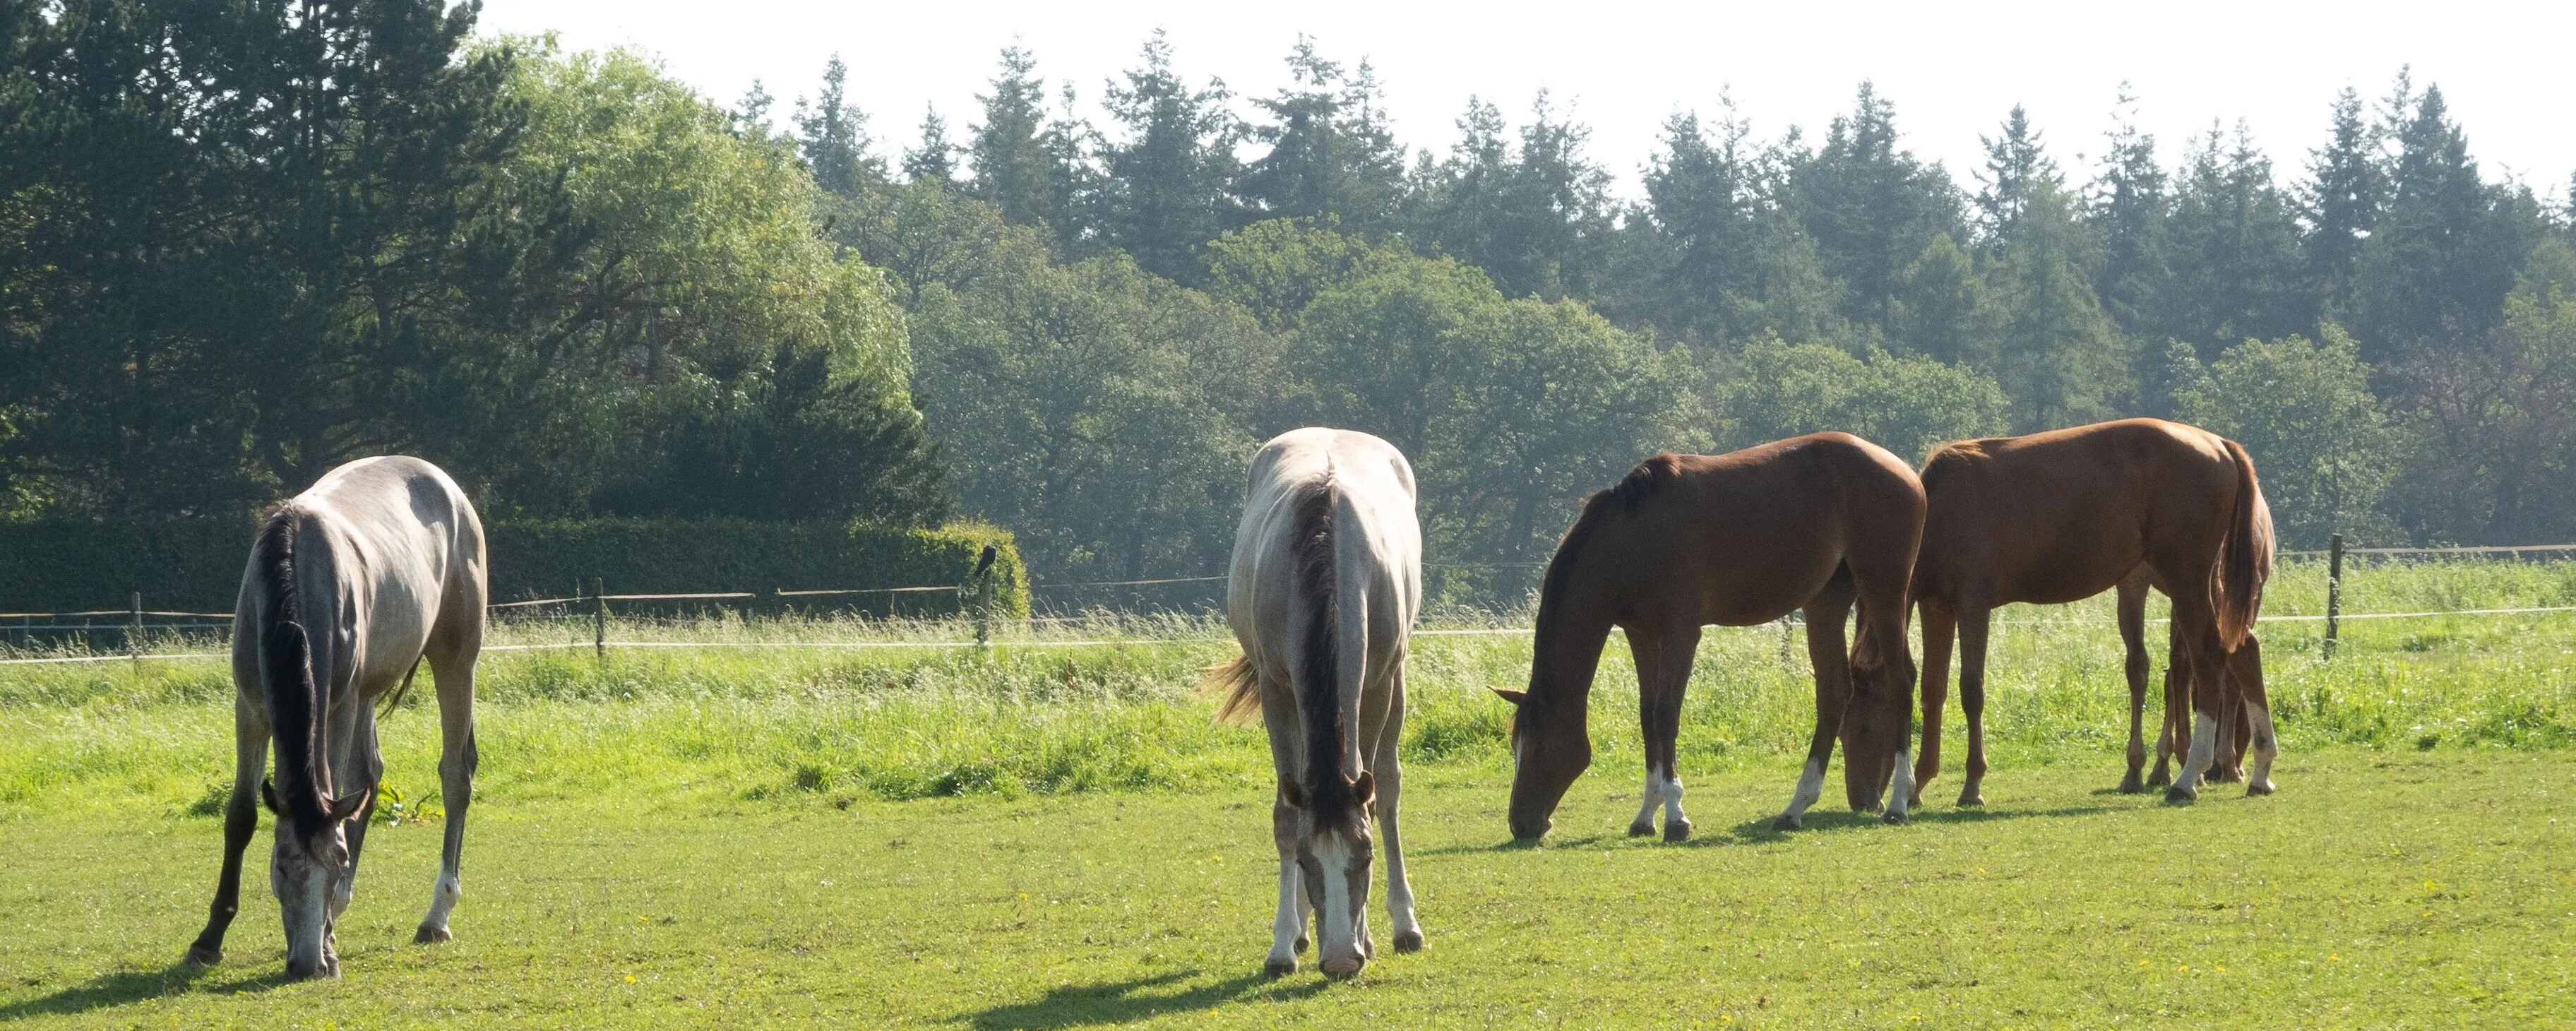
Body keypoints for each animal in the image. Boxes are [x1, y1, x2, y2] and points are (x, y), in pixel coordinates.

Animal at [183, 456, 487, 980]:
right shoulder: (251, 706)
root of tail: (449, 488)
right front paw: (209, 939)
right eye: (282, 866)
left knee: (455, 775)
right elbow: (241, 815)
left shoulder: (338, 705)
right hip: (369, 688)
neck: (296, 572)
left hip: (454, 658)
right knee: (369, 776)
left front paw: (328, 939)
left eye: (338, 862)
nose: (308, 965)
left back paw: (436, 915)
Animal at [1206, 428, 1423, 979]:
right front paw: (1284, 943)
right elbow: (1288, 812)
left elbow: (1376, 793)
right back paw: (1304, 932)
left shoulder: (1376, 686)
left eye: (1365, 858)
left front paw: (1380, 933)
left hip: (1396, 682)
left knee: (1388, 788)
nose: (1343, 959)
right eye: (1306, 862)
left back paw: (1403, 925)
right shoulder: (1276, 691)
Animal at [1495, 433, 1927, 840]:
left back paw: (1899, 802)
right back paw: (1794, 808)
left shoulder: (1681, 633)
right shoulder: (1641, 635)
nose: (1520, 824)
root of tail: (1905, 471)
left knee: (1901, 680)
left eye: (1540, 745)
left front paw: (1675, 816)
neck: (1631, 537)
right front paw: (1645, 815)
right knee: (1835, 693)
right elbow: (1647, 716)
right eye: (1515, 745)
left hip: (1885, 591)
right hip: (1826, 604)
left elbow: (1666, 714)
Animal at [1908, 418, 2272, 809]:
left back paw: (2190, 776)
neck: (1940, 510)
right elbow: (1933, 690)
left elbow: (1971, 690)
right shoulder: (1936, 609)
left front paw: (1972, 783)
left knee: (2208, 657)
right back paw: (2260, 768)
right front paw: (1919, 781)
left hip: (2188, 581)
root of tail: (2219, 444)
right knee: (2244, 651)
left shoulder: (1972, 608)